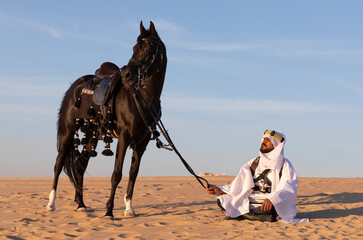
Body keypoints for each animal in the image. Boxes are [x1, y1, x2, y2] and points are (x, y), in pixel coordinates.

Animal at [45, 21, 169, 218]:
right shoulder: (124, 137)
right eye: (134, 47)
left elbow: (133, 173)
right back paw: (51, 204)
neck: (143, 98)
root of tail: (75, 86)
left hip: (91, 135)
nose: (126, 75)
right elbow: (116, 174)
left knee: (79, 167)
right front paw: (109, 211)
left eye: (149, 46)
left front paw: (129, 208)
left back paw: (81, 204)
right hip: (67, 131)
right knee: (58, 164)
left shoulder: (141, 142)